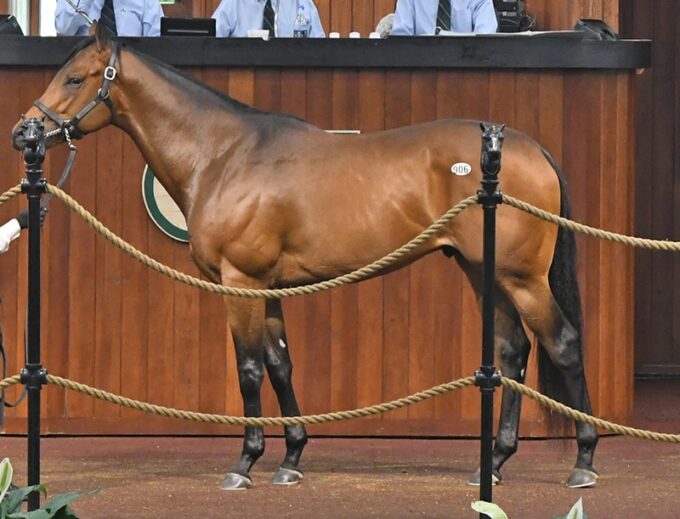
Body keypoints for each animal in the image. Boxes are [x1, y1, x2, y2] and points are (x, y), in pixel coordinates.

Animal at [9, 24, 596, 492]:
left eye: (76, 79)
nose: (23, 133)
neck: (224, 156)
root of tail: (528, 148)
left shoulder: (241, 283)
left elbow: (248, 369)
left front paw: (245, 463)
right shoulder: (267, 287)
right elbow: (280, 364)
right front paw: (290, 457)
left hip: (521, 277)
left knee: (562, 343)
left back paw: (584, 460)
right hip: (484, 273)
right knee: (513, 351)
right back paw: (493, 463)